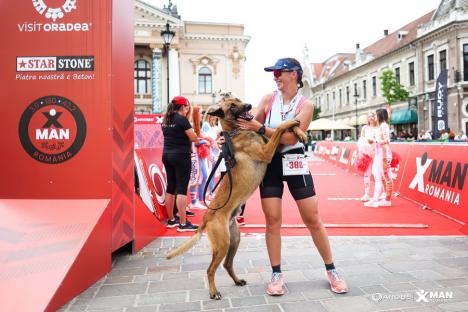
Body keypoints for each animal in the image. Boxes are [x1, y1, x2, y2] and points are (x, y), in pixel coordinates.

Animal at [165, 95, 308, 300]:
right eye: (232, 106)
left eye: (239, 100)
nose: (249, 105)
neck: (236, 132)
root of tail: (206, 218)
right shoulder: (266, 152)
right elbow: (280, 128)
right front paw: (290, 123)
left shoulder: (269, 142)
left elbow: (280, 129)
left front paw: (299, 129)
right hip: (222, 244)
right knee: (210, 269)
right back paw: (214, 292)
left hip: (234, 239)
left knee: (227, 264)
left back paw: (237, 280)